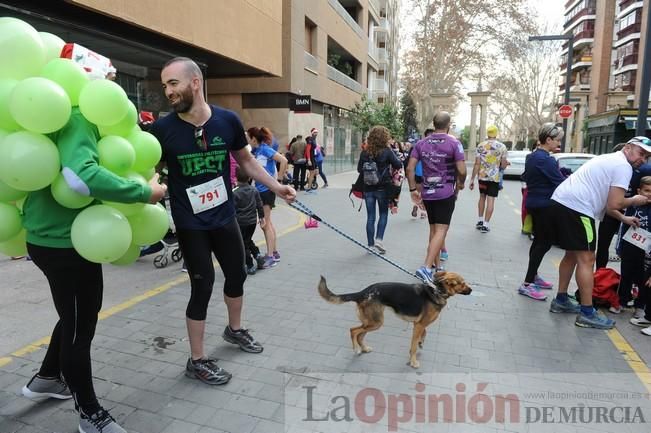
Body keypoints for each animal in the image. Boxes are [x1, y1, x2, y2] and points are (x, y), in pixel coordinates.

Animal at [318, 272, 472, 366]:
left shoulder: (418, 324)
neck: (437, 290)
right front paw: (413, 362)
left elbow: (424, 334)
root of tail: (362, 292)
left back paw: (364, 348)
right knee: (353, 330)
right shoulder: (419, 325)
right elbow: (413, 346)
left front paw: (421, 342)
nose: (471, 290)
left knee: (360, 334)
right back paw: (356, 349)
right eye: (463, 284)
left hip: (370, 322)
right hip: (375, 323)